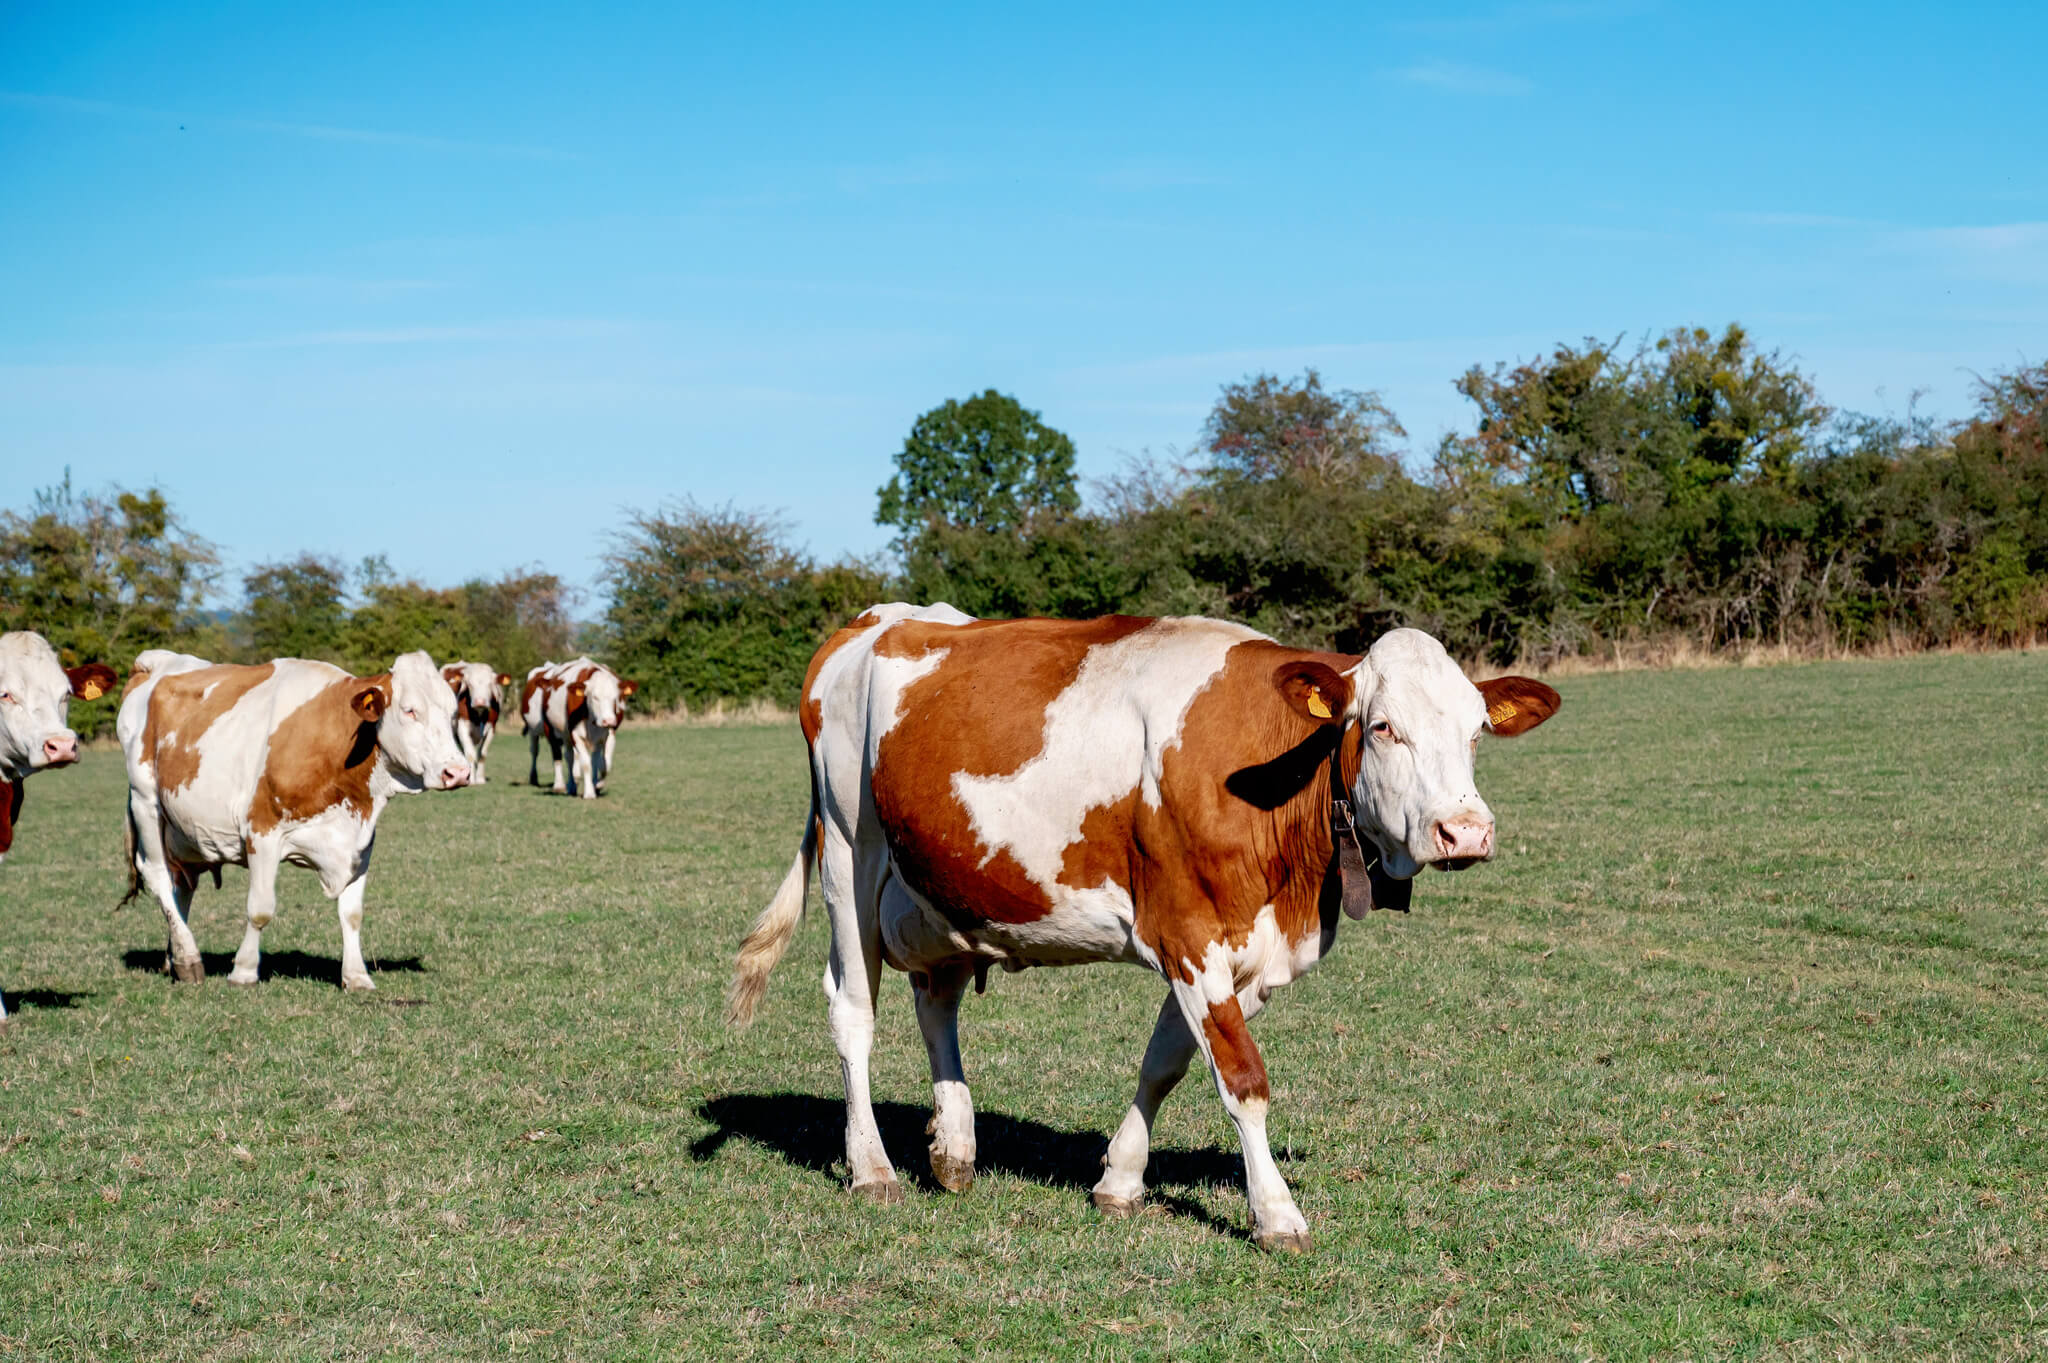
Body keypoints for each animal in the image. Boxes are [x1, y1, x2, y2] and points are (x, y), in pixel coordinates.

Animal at [117, 649, 472, 992]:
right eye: (410, 710)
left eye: (452, 714)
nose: (458, 772)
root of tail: (153, 662)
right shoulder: (262, 832)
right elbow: (260, 908)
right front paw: (244, 971)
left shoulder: (360, 842)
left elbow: (352, 913)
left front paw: (356, 976)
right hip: (146, 801)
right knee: (159, 876)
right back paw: (189, 959)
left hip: (182, 830)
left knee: (182, 887)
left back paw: (174, 958)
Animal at [521, 658, 638, 799]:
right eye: (595, 697)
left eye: (616, 697)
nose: (608, 720)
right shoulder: (575, 734)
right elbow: (586, 764)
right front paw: (589, 793)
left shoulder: (606, 734)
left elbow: (603, 764)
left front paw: (597, 785)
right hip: (544, 730)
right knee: (548, 753)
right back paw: (558, 785)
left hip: (566, 735)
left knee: (575, 757)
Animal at [725, 605, 1560, 1250]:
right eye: (1384, 727)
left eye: (1477, 732)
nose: (1465, 831)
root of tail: (873, 620)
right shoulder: (1188, 930)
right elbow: (1242, 1079)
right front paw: (1276, 1212)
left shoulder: (1240, 949)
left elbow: (1167, 1060)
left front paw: (1120, 1179)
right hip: (848, 851)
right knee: (852, 1009)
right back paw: (872, 1168)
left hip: (945, 884)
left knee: (938, 1000)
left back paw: (956, 1147)